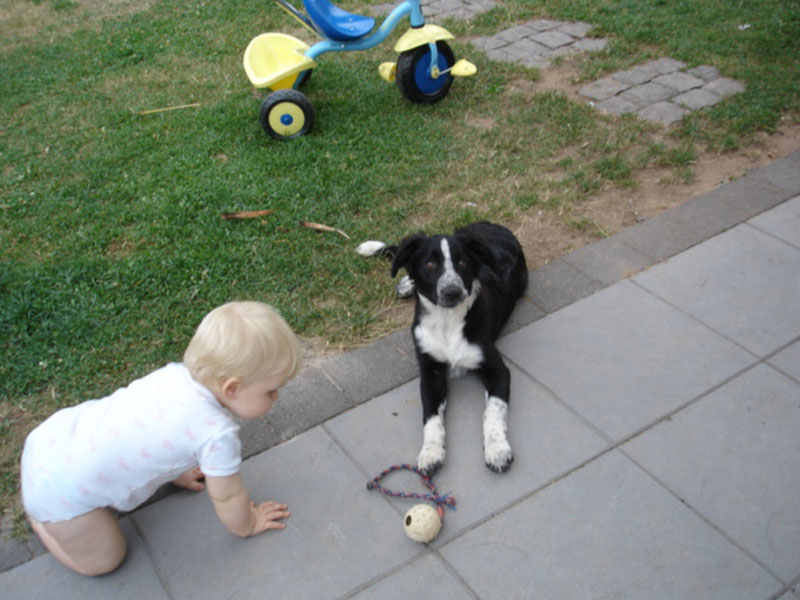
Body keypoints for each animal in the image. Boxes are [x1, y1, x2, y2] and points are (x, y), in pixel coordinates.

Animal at [360, 223, 528, 476]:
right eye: (429, 264)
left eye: (463, 263)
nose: (452, 292)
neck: (447, 321)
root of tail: (489, 224)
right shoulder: (430, 372)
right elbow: (431, 418)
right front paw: (431, 452)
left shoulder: (497, 369)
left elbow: (493, 412)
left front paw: (497, 449)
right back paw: (406, 284)